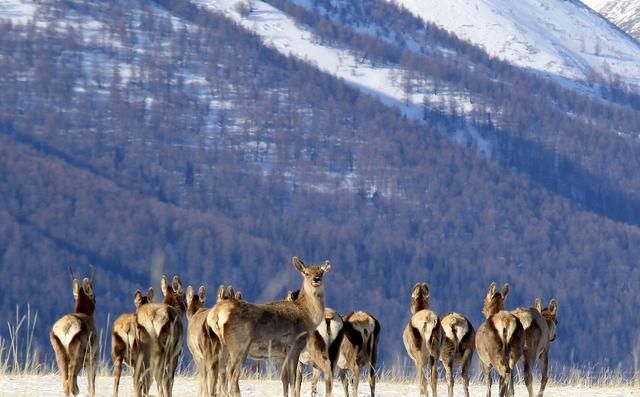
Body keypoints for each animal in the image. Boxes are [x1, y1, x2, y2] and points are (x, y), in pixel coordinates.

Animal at [50, 266, 97, 396]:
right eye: (94, 296)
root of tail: (66, 327)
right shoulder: (93, 356)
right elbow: (91, 382)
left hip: (59, 354)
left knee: (66, 381)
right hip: (78, 354)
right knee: (71, 380)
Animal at [208, 256, 332, 396]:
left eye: (321, 272)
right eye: (306, 273)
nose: (316, 279)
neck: (307, 316)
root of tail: (217, 313)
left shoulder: (281, 354)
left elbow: (284, 379)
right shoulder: (294, 346)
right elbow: (293, 380)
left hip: (221, 345)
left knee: (219, 370)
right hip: (239, 344)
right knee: (232, 372)